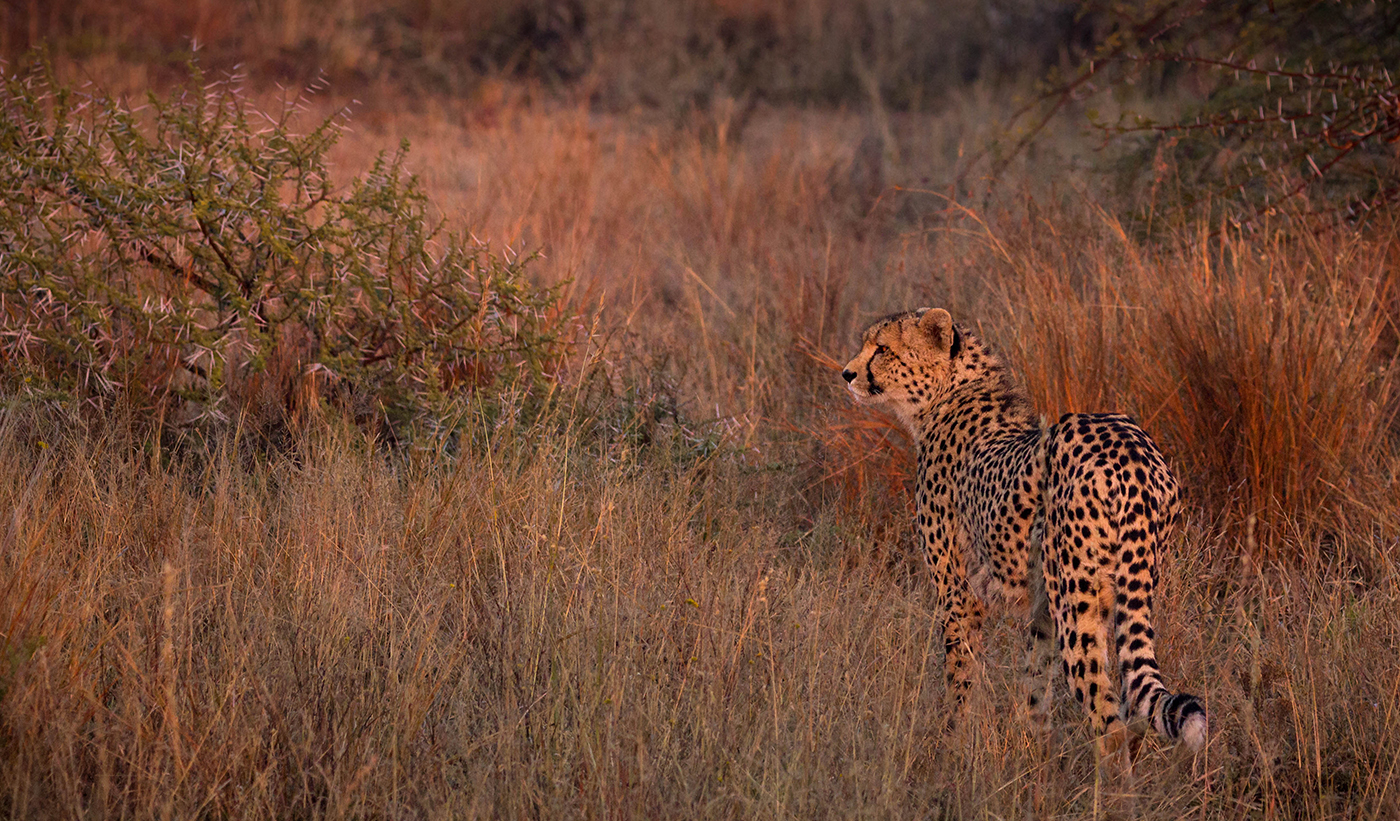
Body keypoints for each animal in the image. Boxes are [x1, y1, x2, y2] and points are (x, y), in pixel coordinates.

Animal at [841, 307, 1207, 755]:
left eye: (882, 349)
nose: (847, 374)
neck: (948, 396)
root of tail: (1132, 452)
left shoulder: (958, 593)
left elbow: (961, 673)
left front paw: (954, 742)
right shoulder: (1041, 608)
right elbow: (1034, 681)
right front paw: (1036, 750)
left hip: (1076, 602)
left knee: (1108, 717)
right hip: (1116, 592)